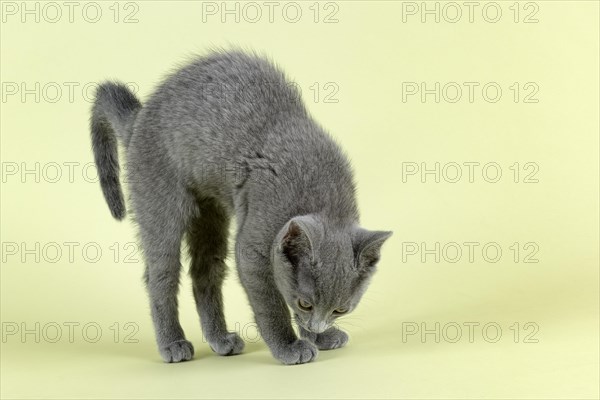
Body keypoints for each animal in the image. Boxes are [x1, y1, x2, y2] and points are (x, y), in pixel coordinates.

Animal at [88, 50, 390, 366]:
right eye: (305, 303)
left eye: (340, 310)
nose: (316, 326)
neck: (323, 198)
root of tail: (139, 119)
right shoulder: (254, 245)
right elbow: (270, 304)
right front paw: (290, 346)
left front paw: (320, 337)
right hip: (160, 201)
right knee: (160, 275)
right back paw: (173, 343)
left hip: (210, 212)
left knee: (205, 272)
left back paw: (220, 339)